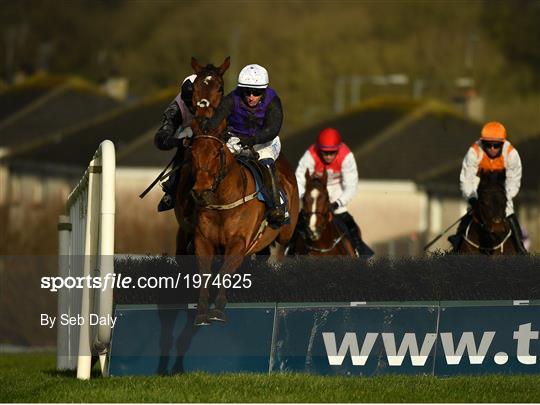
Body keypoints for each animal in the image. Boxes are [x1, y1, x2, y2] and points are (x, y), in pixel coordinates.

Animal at [189, 56, 300, 324]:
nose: (200, 191)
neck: (223, 201)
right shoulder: (202, 240)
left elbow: (224, 273)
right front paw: (201, 311)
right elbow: (204, 274)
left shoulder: (239, 243)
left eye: (216, 153)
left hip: (284, 234)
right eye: (193, 153)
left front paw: (218, 309)